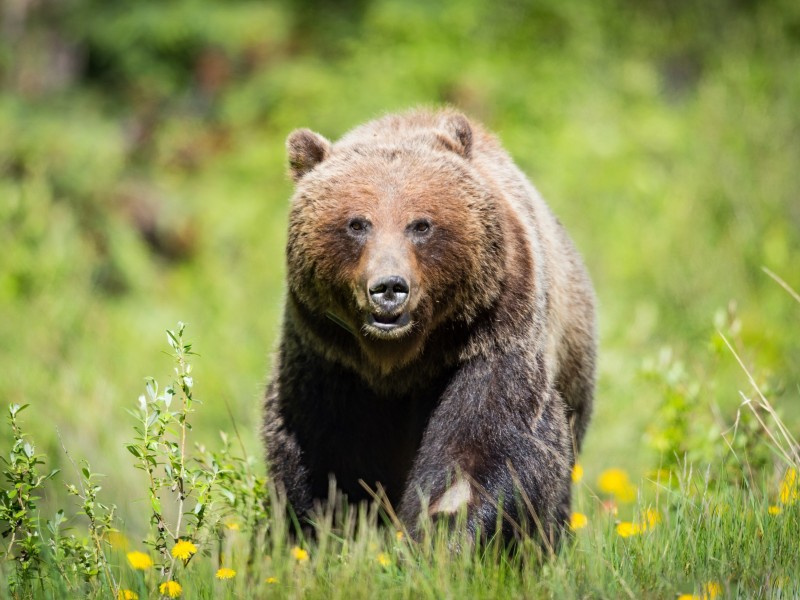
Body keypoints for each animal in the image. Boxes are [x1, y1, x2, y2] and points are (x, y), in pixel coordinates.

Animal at [262, 108, 596, 547]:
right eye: (357, 224)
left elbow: (487, 447)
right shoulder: (329, 356)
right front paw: (325, 532)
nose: (389, 288)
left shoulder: (491, 337)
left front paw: (444, 534)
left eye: (421, 225)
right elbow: (321, 453)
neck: (398, 359)